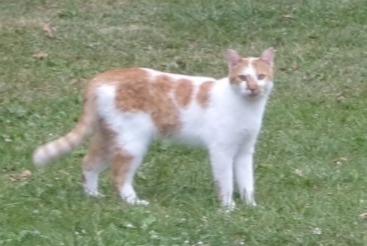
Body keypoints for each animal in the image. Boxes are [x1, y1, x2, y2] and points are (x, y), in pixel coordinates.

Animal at [33, 48, 276, 211]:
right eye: (243, 77)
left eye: (261, 76)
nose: (253, 87)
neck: (247, 108)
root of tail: (103, 76)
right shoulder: (221, 151)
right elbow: (225, 182)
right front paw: (228, 208)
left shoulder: (245, 151)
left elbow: (247, 181)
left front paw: (250, 205)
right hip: (133, 142)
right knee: (118, 175)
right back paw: (134, 202)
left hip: (110, 137)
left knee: (89, 163)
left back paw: (92, 195)